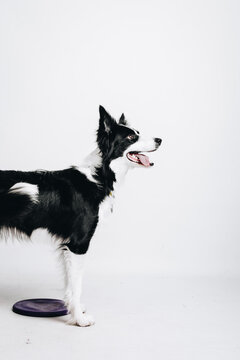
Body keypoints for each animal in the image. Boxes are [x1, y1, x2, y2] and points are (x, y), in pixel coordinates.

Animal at [0, 106, 162, 326]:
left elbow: (70, 285)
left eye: (138, 132)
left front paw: (73, 310)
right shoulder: (78, 244)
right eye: (131, 137)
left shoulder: (68, 247)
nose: (160, 140)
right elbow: (77, 286)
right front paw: (79, 319)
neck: (100, 175)